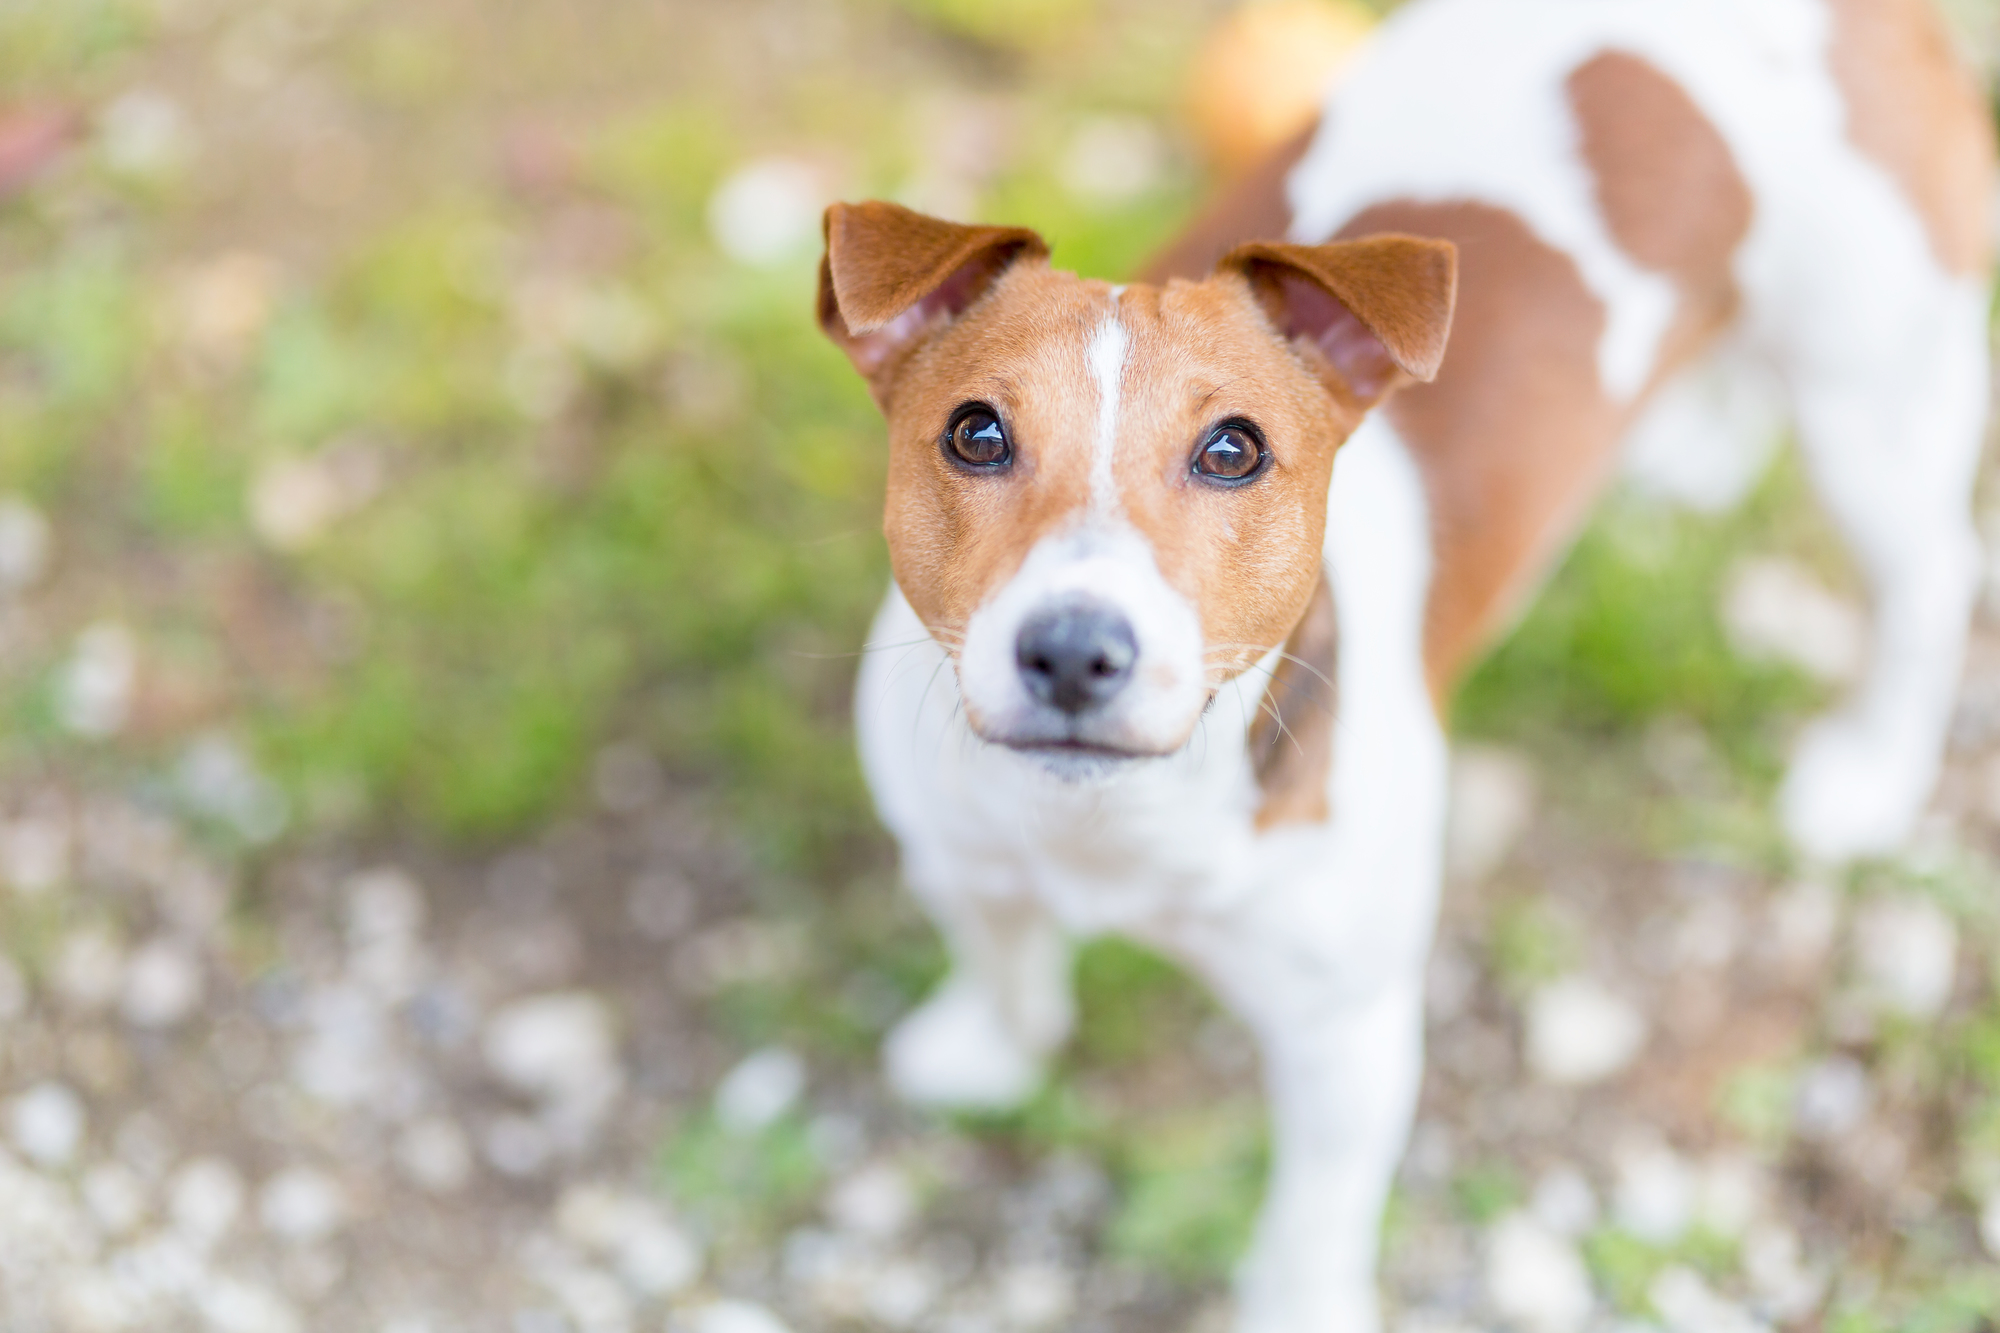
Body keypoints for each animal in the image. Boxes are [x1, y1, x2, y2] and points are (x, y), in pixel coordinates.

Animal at [808, 0, 1984, 1320]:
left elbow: (1310, 1222)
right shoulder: (959, 858)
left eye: (1231, 450)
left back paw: (1867, 773)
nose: (1070, 649)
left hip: (1872, 409)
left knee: (1925, 584)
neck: (1108, 827)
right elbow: (1002, 956)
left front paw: (1295, 1304)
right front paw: (988, 1050)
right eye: (974, 433)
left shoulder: (1349, 1040)